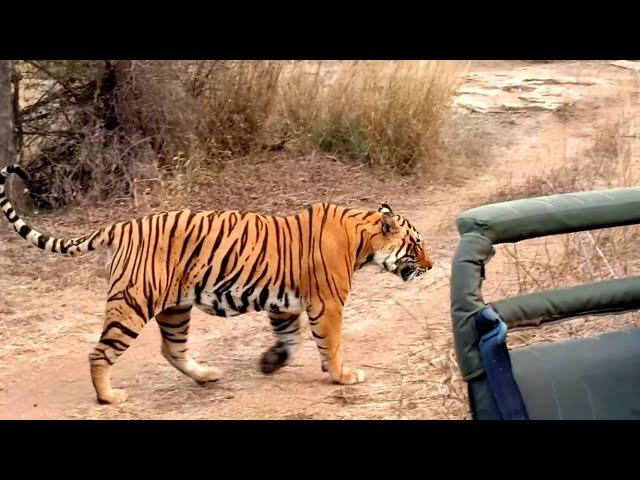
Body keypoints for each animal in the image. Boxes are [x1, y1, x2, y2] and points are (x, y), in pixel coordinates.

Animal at [0, 165, 432, 404]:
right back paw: (109, 397)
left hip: (174, 308)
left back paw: (207, 375)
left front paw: (270, 362)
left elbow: (288, 339)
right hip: (133, 302)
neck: (363, 237)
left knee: (172, 349)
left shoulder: (286, 303)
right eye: (417, 245)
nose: (431, 266)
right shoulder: (328, 304)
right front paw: (343, 375)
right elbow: (332, 344)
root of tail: (121, 225)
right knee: (100, 352)